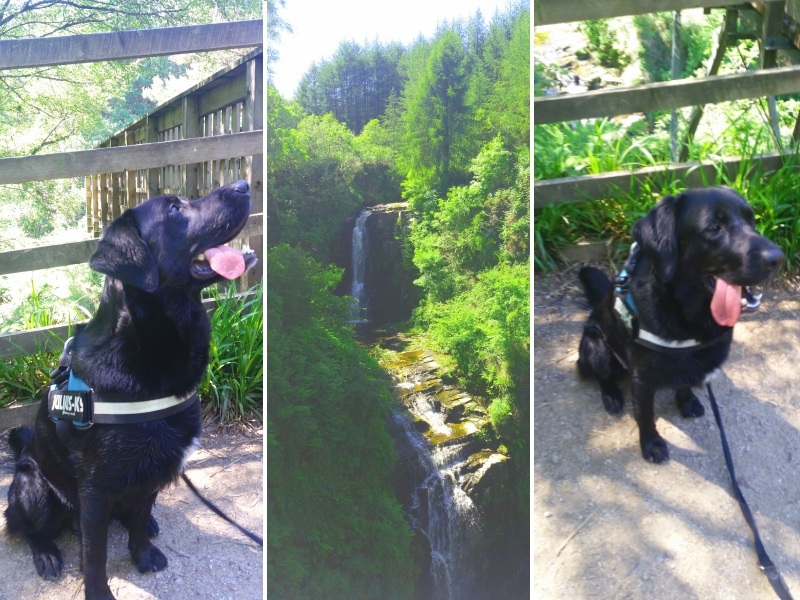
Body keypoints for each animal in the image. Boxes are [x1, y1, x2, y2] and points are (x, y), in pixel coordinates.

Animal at [3, 180, 256, 596]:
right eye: (174, 209)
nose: (244, 185)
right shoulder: (95, 489)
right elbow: (95, 555)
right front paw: (99, 593)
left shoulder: (152, 470)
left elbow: (138, 518)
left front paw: (143, 554)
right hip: (32, 487)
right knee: (24, 526)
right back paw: (46, 554)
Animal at [580, 188, 784, 464]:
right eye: (714, 227)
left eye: (751, 221)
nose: (778, 258)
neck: (688, 313)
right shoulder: (642, 381)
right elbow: (645, 415)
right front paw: (652, 444)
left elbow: (685, 383)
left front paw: (686, 403)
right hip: (596, 346)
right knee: (601, 376)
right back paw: (611, 395)